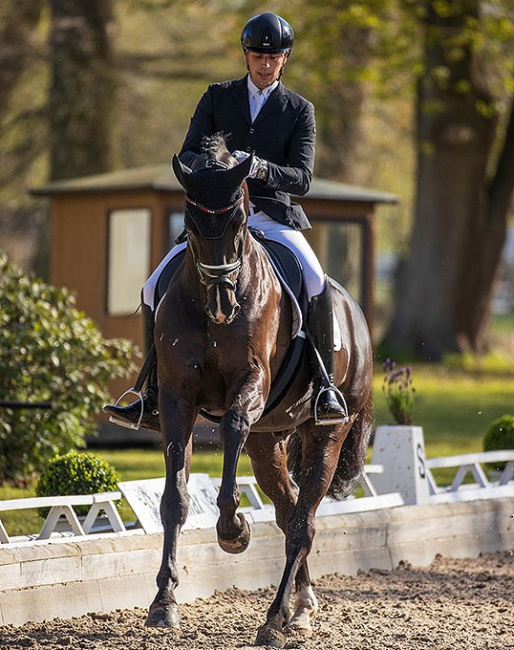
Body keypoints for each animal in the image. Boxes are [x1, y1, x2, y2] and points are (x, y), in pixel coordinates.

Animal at [146, 134, 370, 644]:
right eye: (189, 222)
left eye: (239, 220)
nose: (222, 303)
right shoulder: (175, 397)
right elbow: (174, 500)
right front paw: (164, 602)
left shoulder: (250, 384)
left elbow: (230, 427)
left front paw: (233, 529)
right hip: (269, 441)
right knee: (289, 512)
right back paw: (299, 607)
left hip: (328, 432)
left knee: (302, 523)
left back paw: (274, 621)